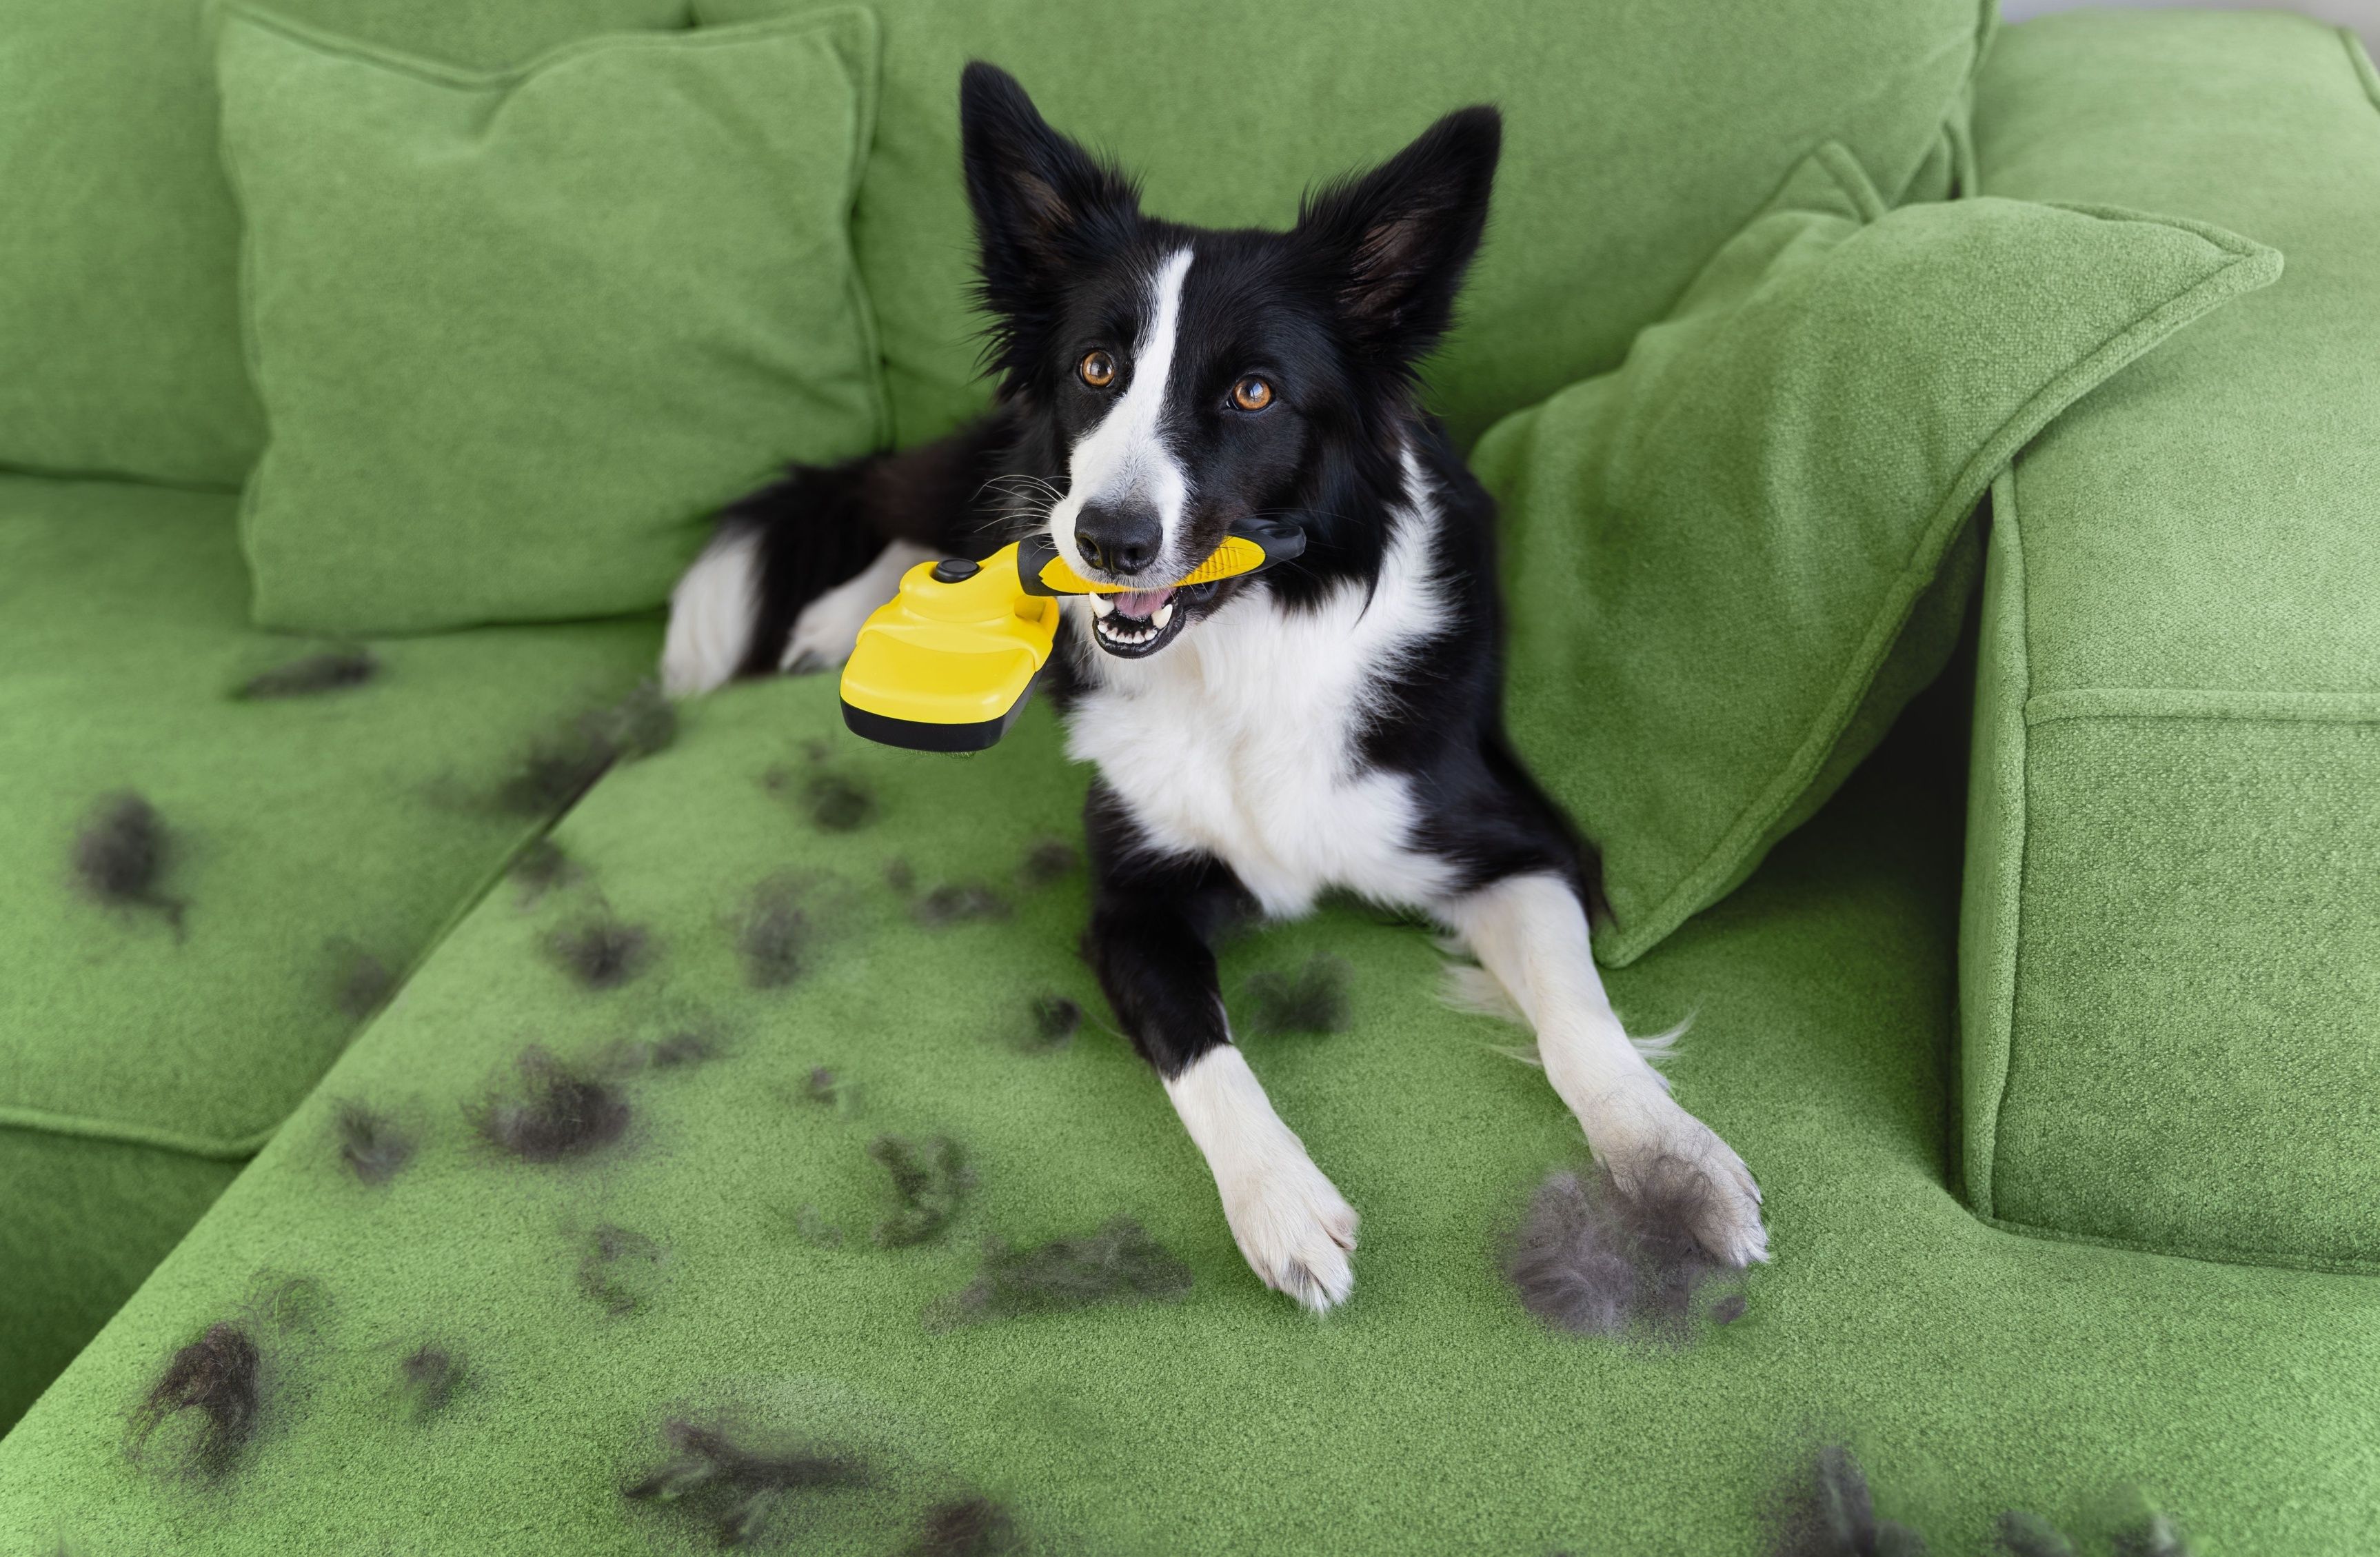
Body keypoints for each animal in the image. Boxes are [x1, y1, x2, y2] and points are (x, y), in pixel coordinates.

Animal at [671, 63, 1771, 1314]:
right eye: (1097, 369)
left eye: (1252, 392)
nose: (1109, 538)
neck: (1242, 645)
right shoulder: (1132, 903)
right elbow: (1204, 1057)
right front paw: (1280, 1204)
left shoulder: (1512, 840)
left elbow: (1579, 1017)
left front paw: (1669, 1157)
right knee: (944, 518)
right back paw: (840, 618)